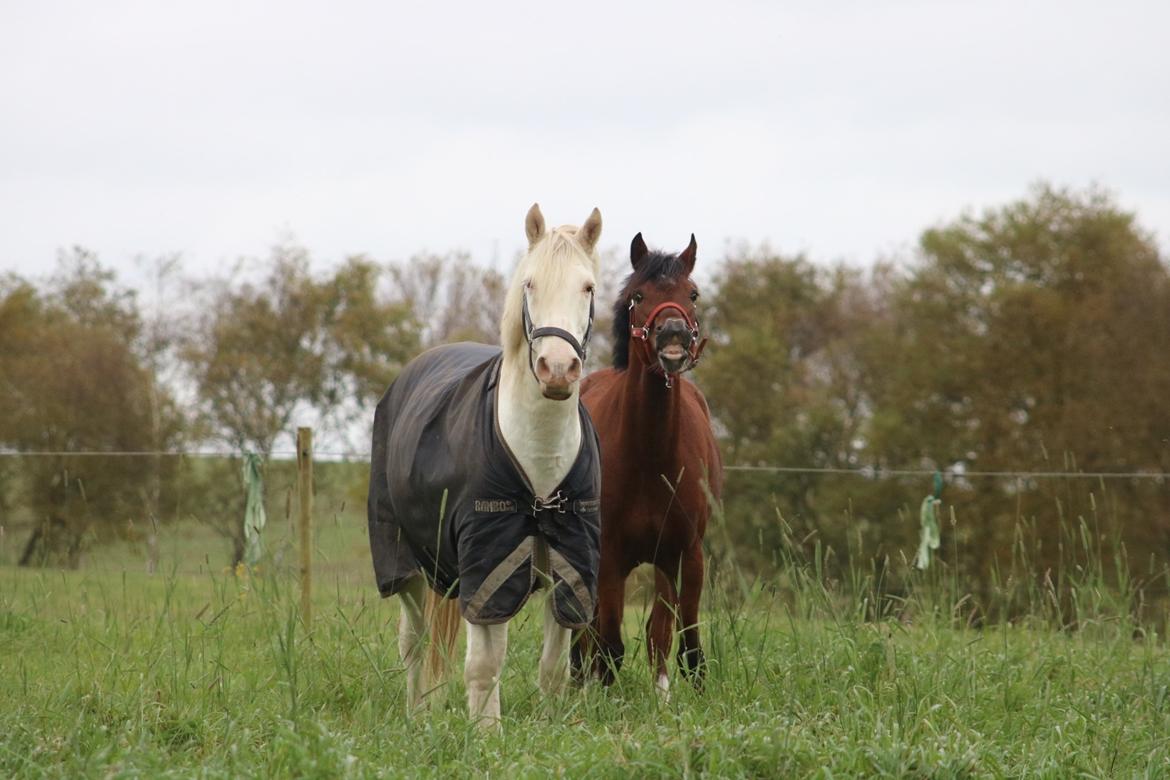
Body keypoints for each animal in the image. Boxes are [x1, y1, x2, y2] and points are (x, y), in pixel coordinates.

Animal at [367, 204, 603, 729]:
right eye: (530, 283)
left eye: (588, 287)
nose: (558, 369)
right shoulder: (488, 564)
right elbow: (483, 663)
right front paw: (486, 734)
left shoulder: (569, 563)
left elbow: (553, 667)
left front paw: (549, 729)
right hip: (406, 564)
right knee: (415, 642)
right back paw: (417, 715)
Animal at [575, 231, 720, 696]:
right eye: (639, 295)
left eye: (692, 294)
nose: (673, 335)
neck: (650, 457)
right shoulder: (609, 554)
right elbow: (609, 637)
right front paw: (601, 690)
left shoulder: (684, 551)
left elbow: (680, 634)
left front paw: (673, 693)